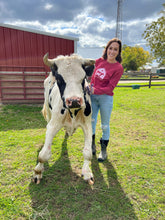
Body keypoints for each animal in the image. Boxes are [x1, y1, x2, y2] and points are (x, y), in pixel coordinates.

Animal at [32, 53, 95, 186]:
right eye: (60, 79)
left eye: (83, 78)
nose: (74, 100)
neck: (73, 112)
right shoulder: (52, 125)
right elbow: (43, 155)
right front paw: (37, 172)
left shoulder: (87, 125)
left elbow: (87, 153)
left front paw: (87, 173)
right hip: (48, 111)